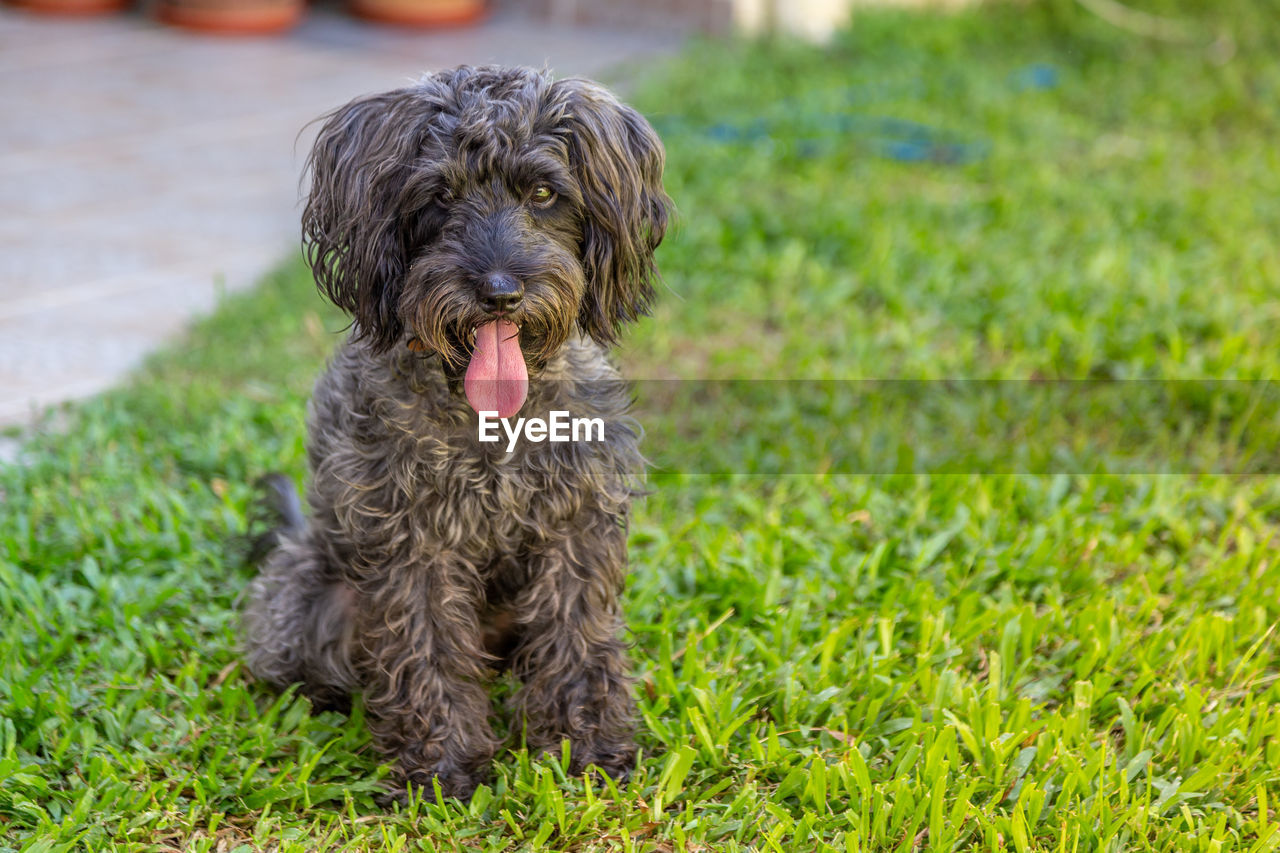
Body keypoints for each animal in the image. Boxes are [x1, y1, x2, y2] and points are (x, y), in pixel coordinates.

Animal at [243, 66, 675, 799]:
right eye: (440, 196)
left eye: (543, 193)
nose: (499, 292)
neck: (490, 421)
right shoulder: (413, 543)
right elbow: (428, 651)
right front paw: (440, 766)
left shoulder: (575, 527)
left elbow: (579, 638)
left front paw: (587, 747)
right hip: (308, 594)